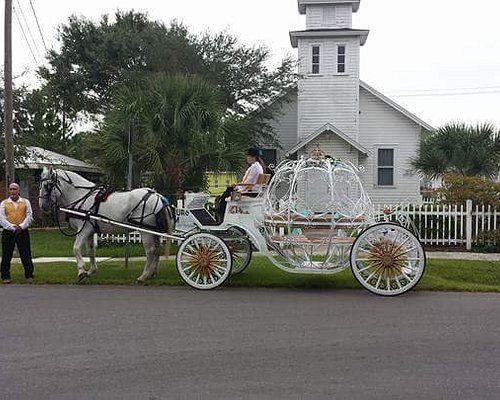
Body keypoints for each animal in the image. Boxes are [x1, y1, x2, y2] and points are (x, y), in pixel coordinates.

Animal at [37, 167, 175, 282]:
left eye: (47, 185)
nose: (42, 206)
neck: (81, 196)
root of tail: (159, 197)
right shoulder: (90, 231)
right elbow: (91, 250)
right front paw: (91, 270)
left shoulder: (84, 229)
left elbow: (76, 248)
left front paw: (81, 272)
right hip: (154, 231)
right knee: (157, 249)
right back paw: (152, 273)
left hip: (145, 230)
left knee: (150, 251)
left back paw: (144, 275)